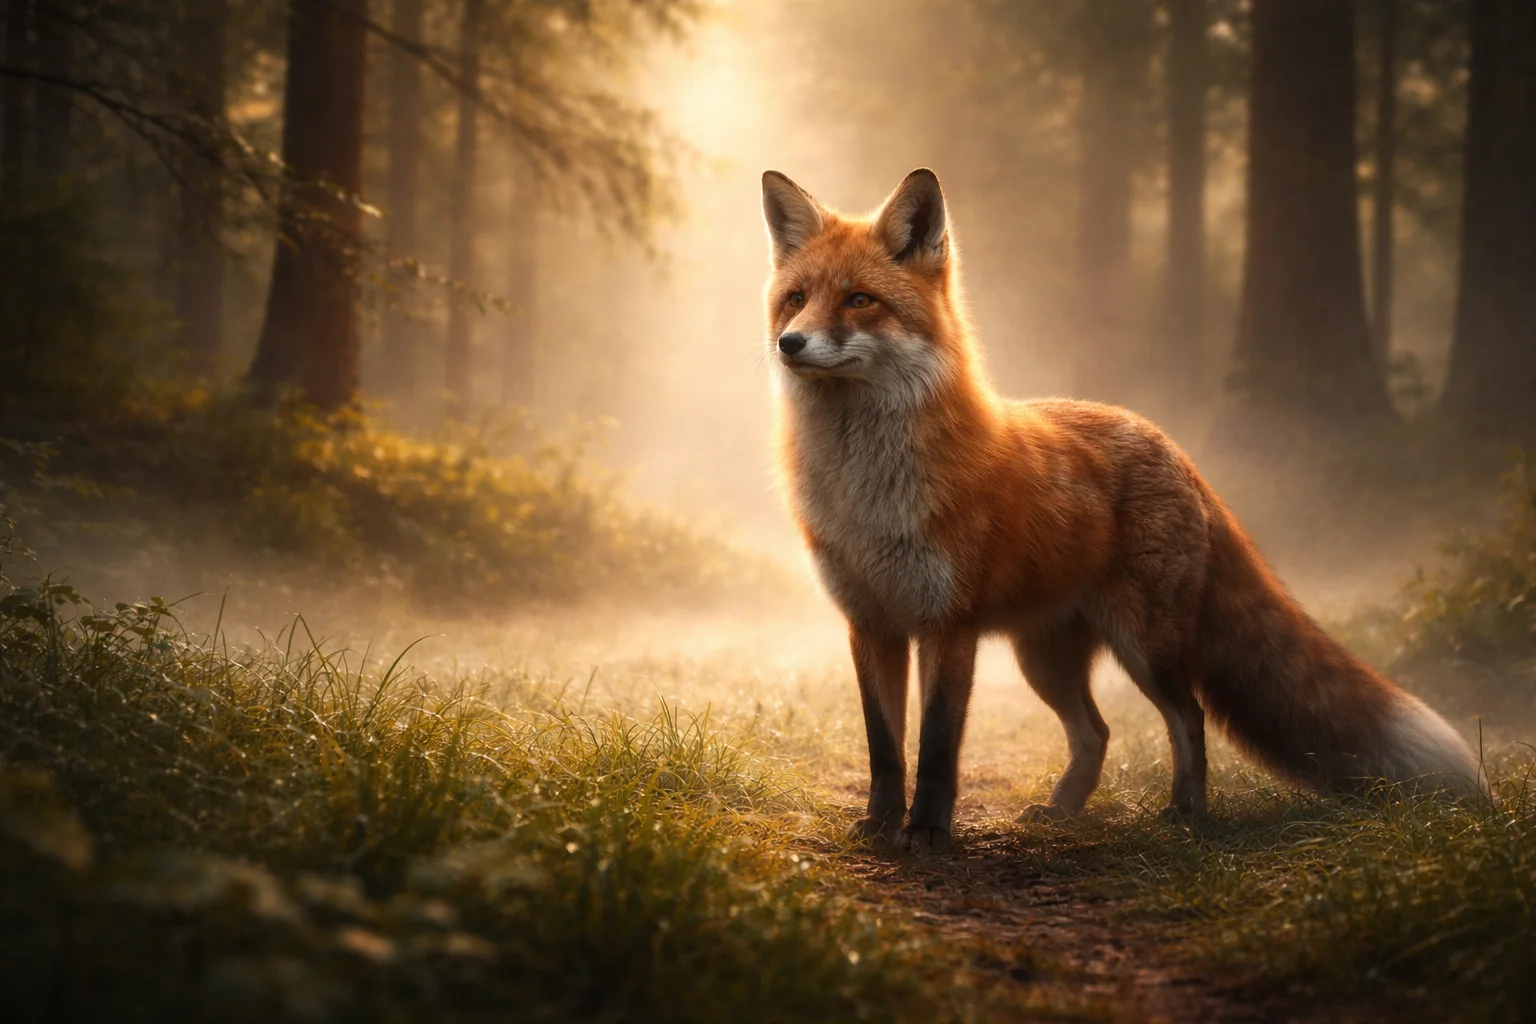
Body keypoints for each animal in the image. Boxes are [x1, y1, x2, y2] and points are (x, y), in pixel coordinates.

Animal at [761, 167, 1484, 853]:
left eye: (859, 300)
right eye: (795, 299)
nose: (789, 344)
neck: (867, 493)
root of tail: (1170, 445)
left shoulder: (948, 623)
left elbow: (936, 747)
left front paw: (929, 834)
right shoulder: (870, 624)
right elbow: (884, 748)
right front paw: (881, 827)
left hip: (1144, 646)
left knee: (1188, 718)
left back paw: (1186, 814)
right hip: (1044, 659)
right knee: (1096, 733)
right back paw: (1061, 812)